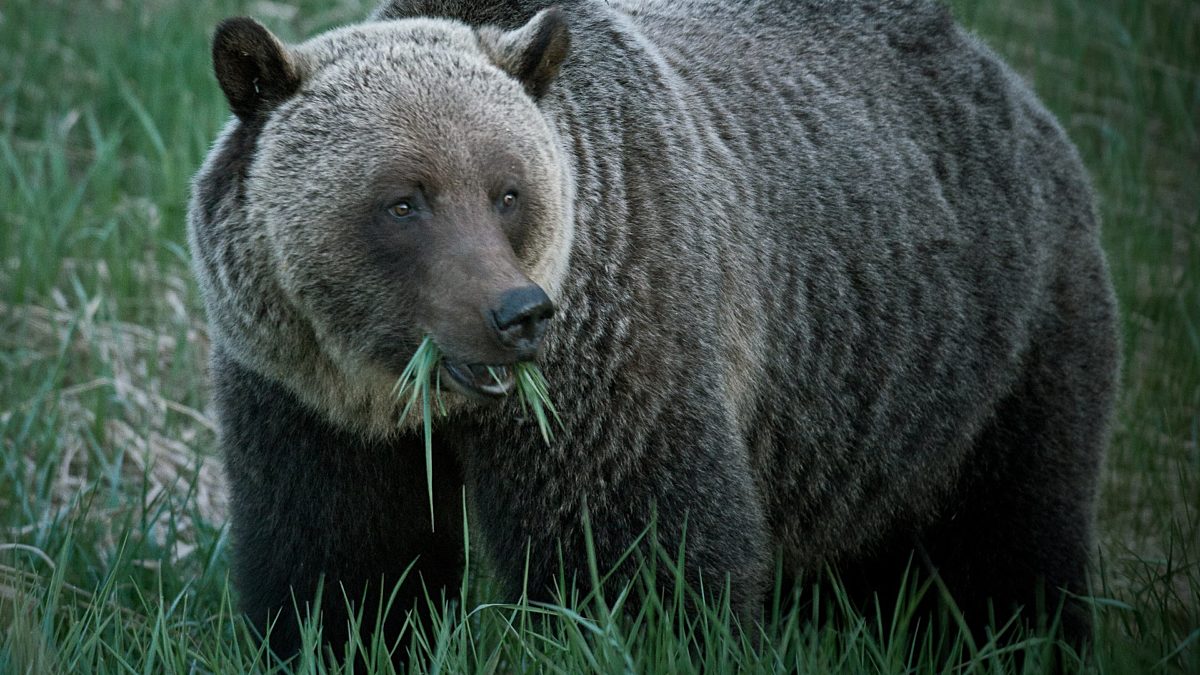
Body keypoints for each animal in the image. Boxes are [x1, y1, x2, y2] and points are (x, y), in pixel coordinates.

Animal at [184, 0, 1113, 658]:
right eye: (403, 201)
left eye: (508, 190)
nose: (516, 314)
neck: (410, 400)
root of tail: (1007, 79)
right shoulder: (307, 399)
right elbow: (342, 562)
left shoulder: (617, 357)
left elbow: (638, 562)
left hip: (996, 345)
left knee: (1006, 541)